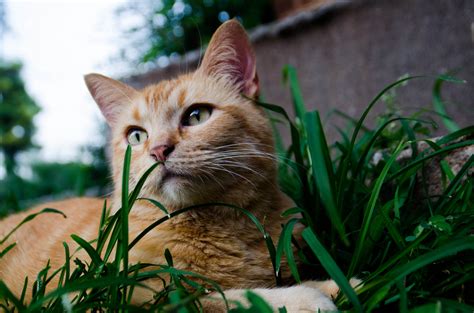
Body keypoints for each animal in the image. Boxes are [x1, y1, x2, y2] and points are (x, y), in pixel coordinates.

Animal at [0, 20, 344, 310]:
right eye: (136, 135)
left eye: (197, 116)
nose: (159, 151)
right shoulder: (122, 298)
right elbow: (224, 298)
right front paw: (302, 298)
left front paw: (337, 285)